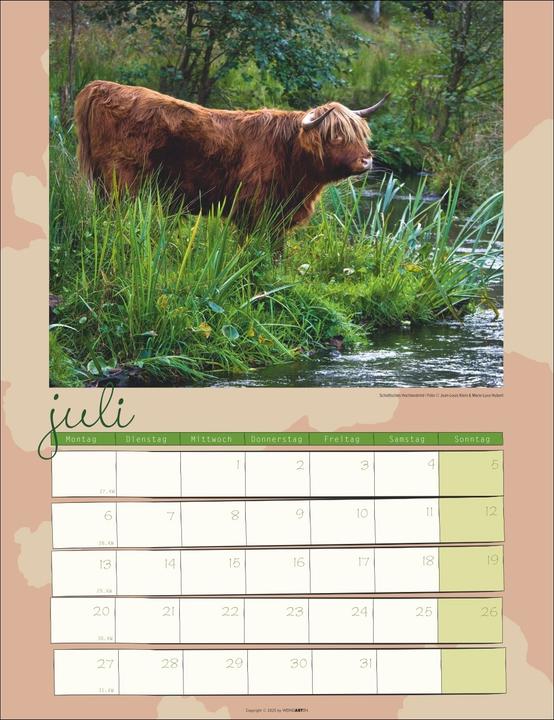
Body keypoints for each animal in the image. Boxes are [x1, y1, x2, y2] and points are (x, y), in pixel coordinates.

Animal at [74, 80, 388, 255]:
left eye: (360, 135)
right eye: (336, 136)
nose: (367, 160)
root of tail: (102, 86)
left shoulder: (277, 216)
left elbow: (276, 251)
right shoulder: (255, 210)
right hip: (123, 184)